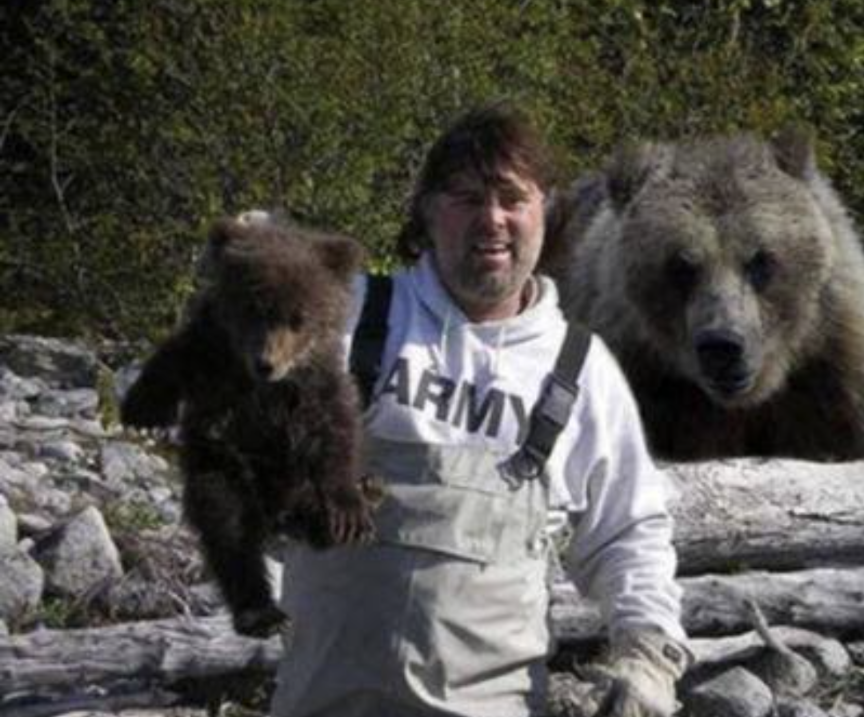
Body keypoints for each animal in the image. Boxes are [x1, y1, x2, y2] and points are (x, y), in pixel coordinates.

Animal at [121, 213, 374, 636]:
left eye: (299, 318)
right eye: (254, 310)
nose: (266, 363)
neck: (261, 385)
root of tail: (276, 516)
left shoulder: (317, 383)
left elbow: (337, 429)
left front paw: (348, 512)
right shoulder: (210, 350)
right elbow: (170, 361)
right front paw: (140, 410)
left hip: (293, 484)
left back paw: (337, 518)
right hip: (223, 469)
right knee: (230, 531)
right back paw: (261, 613)